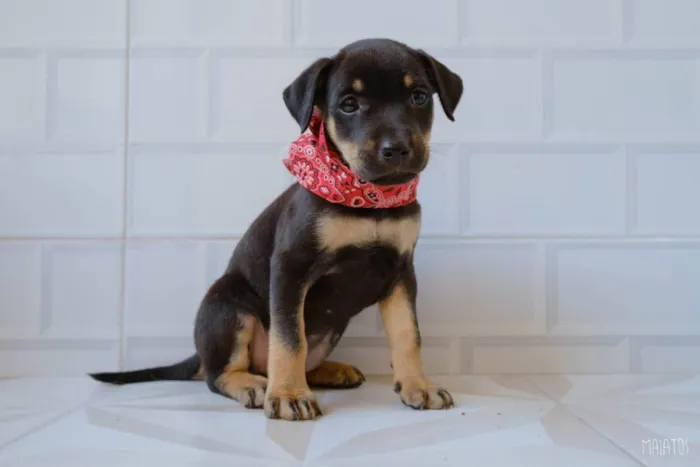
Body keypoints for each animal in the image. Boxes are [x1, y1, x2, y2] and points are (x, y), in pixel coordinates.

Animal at [93, 38, 464, 422]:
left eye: (419, 97)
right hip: (227, 306)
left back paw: (331, 370)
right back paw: (255, 385)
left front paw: (418, 386)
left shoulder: (401, 273)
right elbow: (289, 338)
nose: (397, 149)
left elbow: (408, 335)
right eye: (349, 105)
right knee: (220, 374)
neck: (369, 201)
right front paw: (287, 395)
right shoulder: (290, 268)